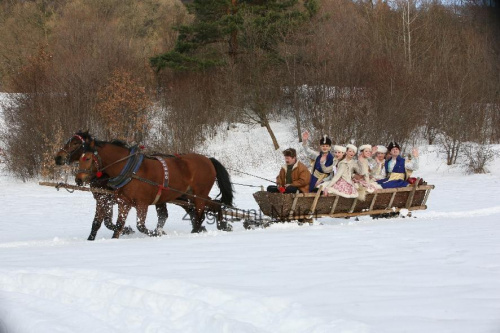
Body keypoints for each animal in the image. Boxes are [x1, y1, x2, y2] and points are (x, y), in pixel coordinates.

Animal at [75, 135, 234, 236]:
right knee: (214, 204)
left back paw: (199, 229)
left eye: (87, 158)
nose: (78, 179)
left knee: (200, 212)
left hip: (198, 194)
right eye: (78, 158)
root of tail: (208, 159)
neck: (130, 170)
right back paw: (221, 225)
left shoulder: (142, 203)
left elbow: (141, 226)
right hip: (190, 195)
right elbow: (118, 225)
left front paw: (157, 233)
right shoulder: (123, 203)